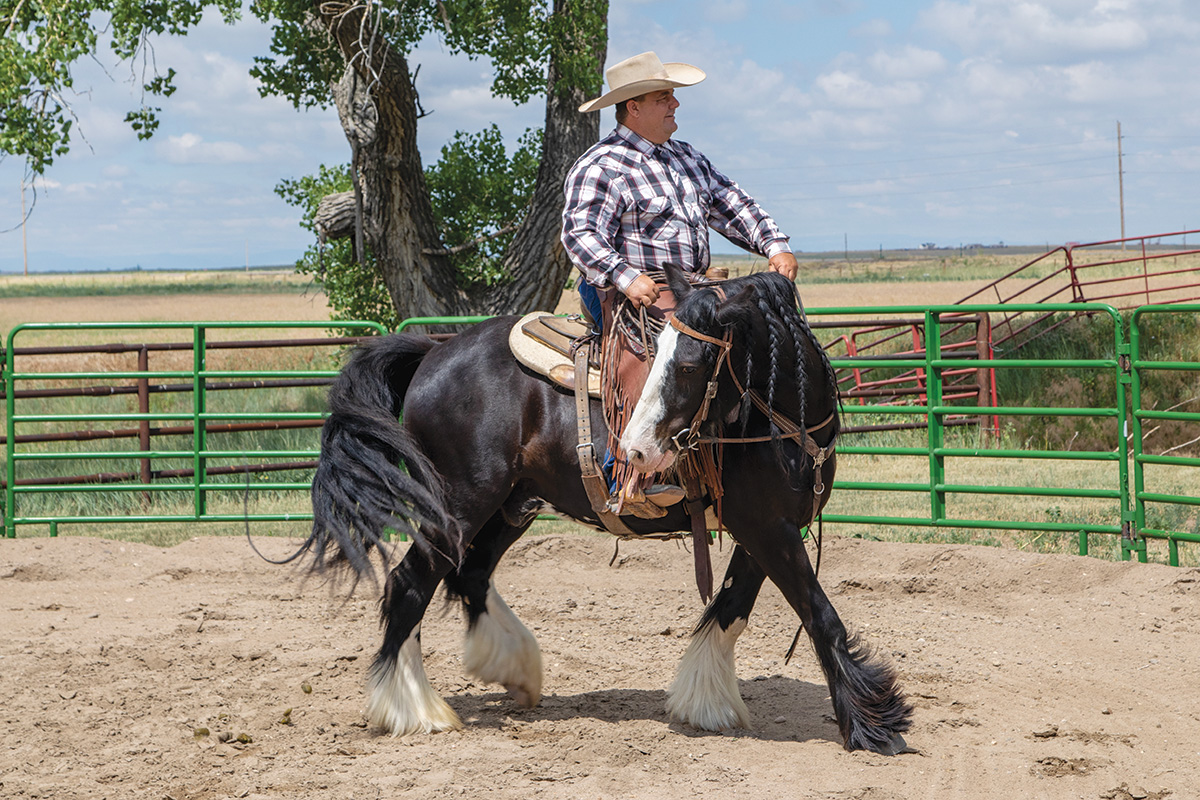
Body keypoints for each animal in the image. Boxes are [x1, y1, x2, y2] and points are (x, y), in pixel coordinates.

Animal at [304, 266, 912, 753]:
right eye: (665, 357)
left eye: (690, 365)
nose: (637, 450)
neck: (772, 421)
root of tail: (433, 352)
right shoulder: (767, 529)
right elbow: (819, 615)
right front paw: (873, 726)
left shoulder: (767, 529)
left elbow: (730, 608)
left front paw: (704, 703)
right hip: (458, 502)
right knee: (411, 582)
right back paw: (412, 708)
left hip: (511, 504)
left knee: (469, 574)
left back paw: (513, 670)